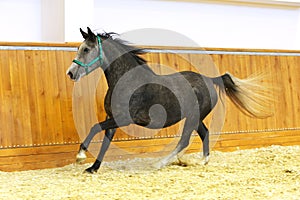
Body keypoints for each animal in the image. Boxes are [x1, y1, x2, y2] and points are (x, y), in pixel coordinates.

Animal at [66, 27, 272, 173]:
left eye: (86, 49)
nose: (70, 73)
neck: (127, 81)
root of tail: (210, 79)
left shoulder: (124, 119)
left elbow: (94, 127)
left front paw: (80, 155)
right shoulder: (113, 119)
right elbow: (104, 142)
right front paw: (92, 168)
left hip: (192, 117)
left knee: (185, 140)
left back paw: (161, 163)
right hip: (195, 118)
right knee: (204, 133)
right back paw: (202, 161)